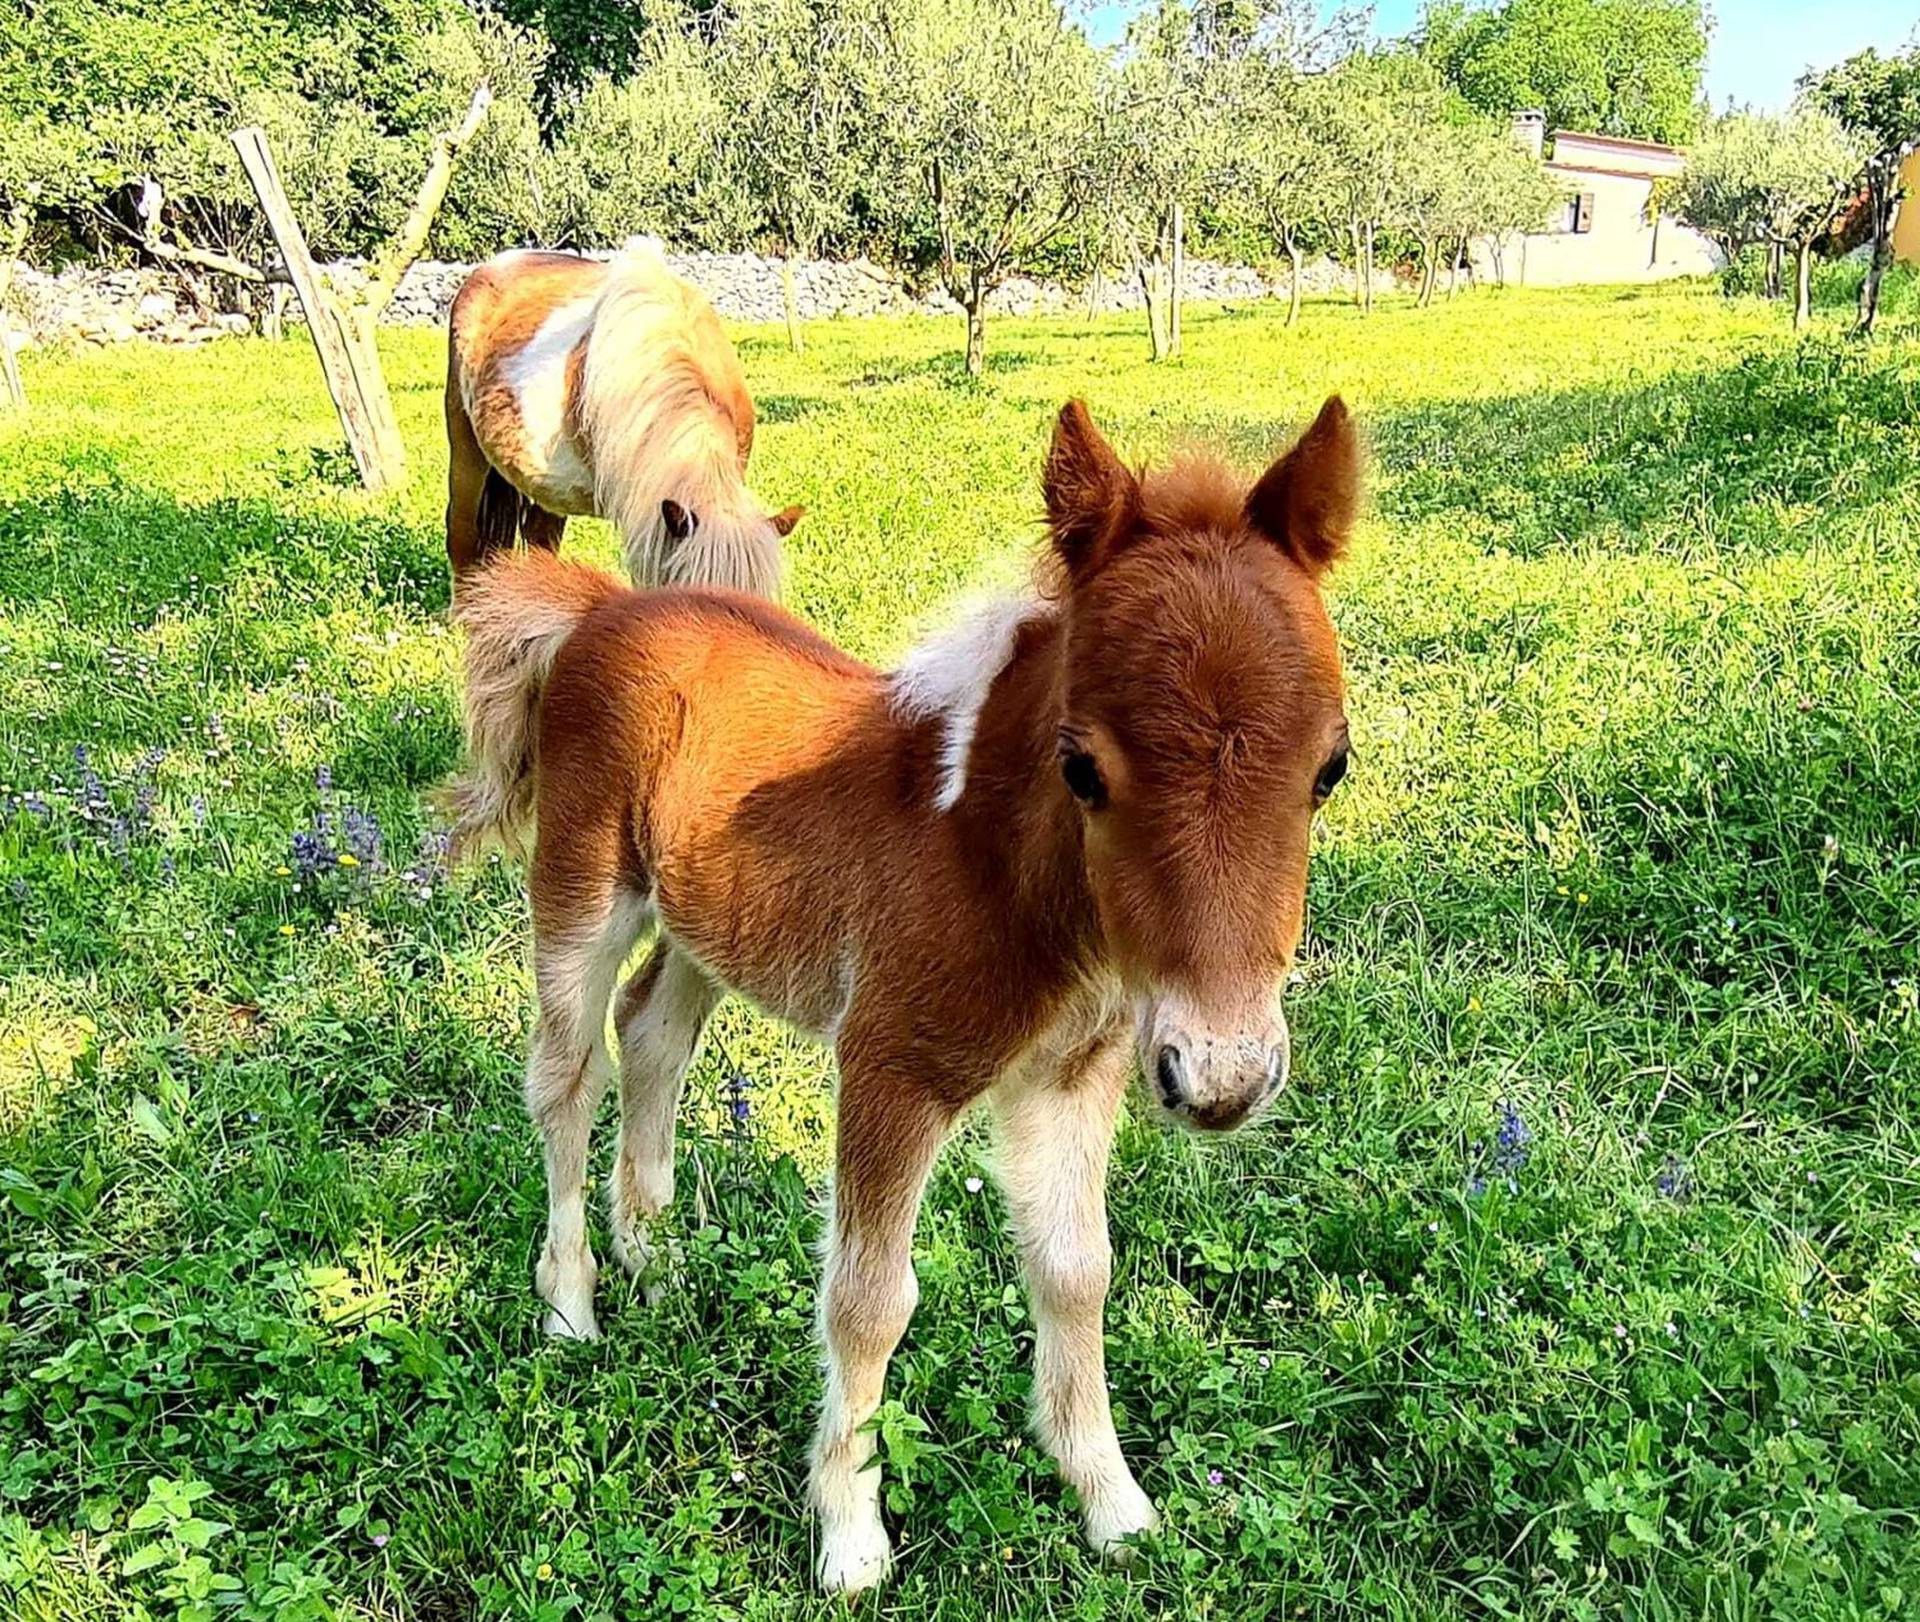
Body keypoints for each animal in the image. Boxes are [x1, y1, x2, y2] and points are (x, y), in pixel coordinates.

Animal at [443, 395, 1359, 1597]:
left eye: (1331, 767)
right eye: (1082, 766)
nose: (1223, 1080)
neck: (988, 861)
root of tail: (606, 607)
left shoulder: (1078, 1073)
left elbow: (1076, 1270)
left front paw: (1111, 1500)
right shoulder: (890, 1069)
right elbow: (871, 1302)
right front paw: (851, 1538)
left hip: (709, 921)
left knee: (652, 1034)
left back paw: (656, 1256)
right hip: (585, 888)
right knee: (567, 1074)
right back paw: (572, 1304)